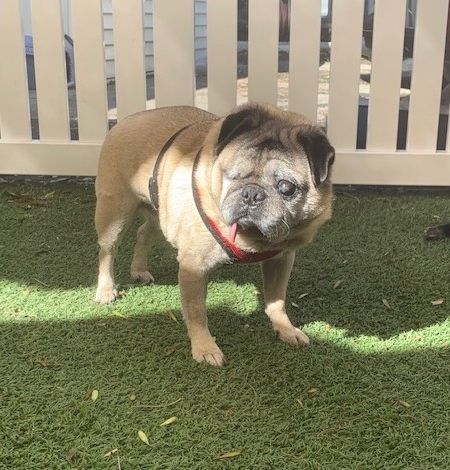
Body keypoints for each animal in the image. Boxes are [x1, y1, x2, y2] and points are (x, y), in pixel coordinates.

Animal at [94, 103, 335, 366]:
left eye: (286, 187)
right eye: (233, 176)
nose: (251, 194)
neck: (253, 239)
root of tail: (126, 120)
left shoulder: (280, 260)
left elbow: (276, 300)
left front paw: (285, 328)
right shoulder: (193, 267)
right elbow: (197, 311)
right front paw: (204, 347)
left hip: (161, 217)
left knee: (143, 234)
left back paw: (138, 270)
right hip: (114, 213)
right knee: (108, 251)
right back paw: (105, 289)